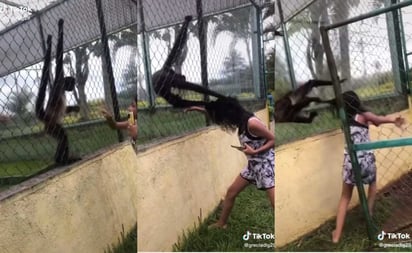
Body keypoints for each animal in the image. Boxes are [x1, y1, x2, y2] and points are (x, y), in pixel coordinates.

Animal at [36, 19, 80, 166]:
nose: (73, 86)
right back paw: (62, 160)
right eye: (72, 83)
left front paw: (74, 108)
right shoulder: (58, 80)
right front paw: (60, 27)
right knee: (63, 136)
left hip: (51, 127)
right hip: (52, 127)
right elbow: (59, 59)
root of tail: (46, 117)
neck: (61, 88)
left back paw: (60, 160)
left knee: (62, 137)